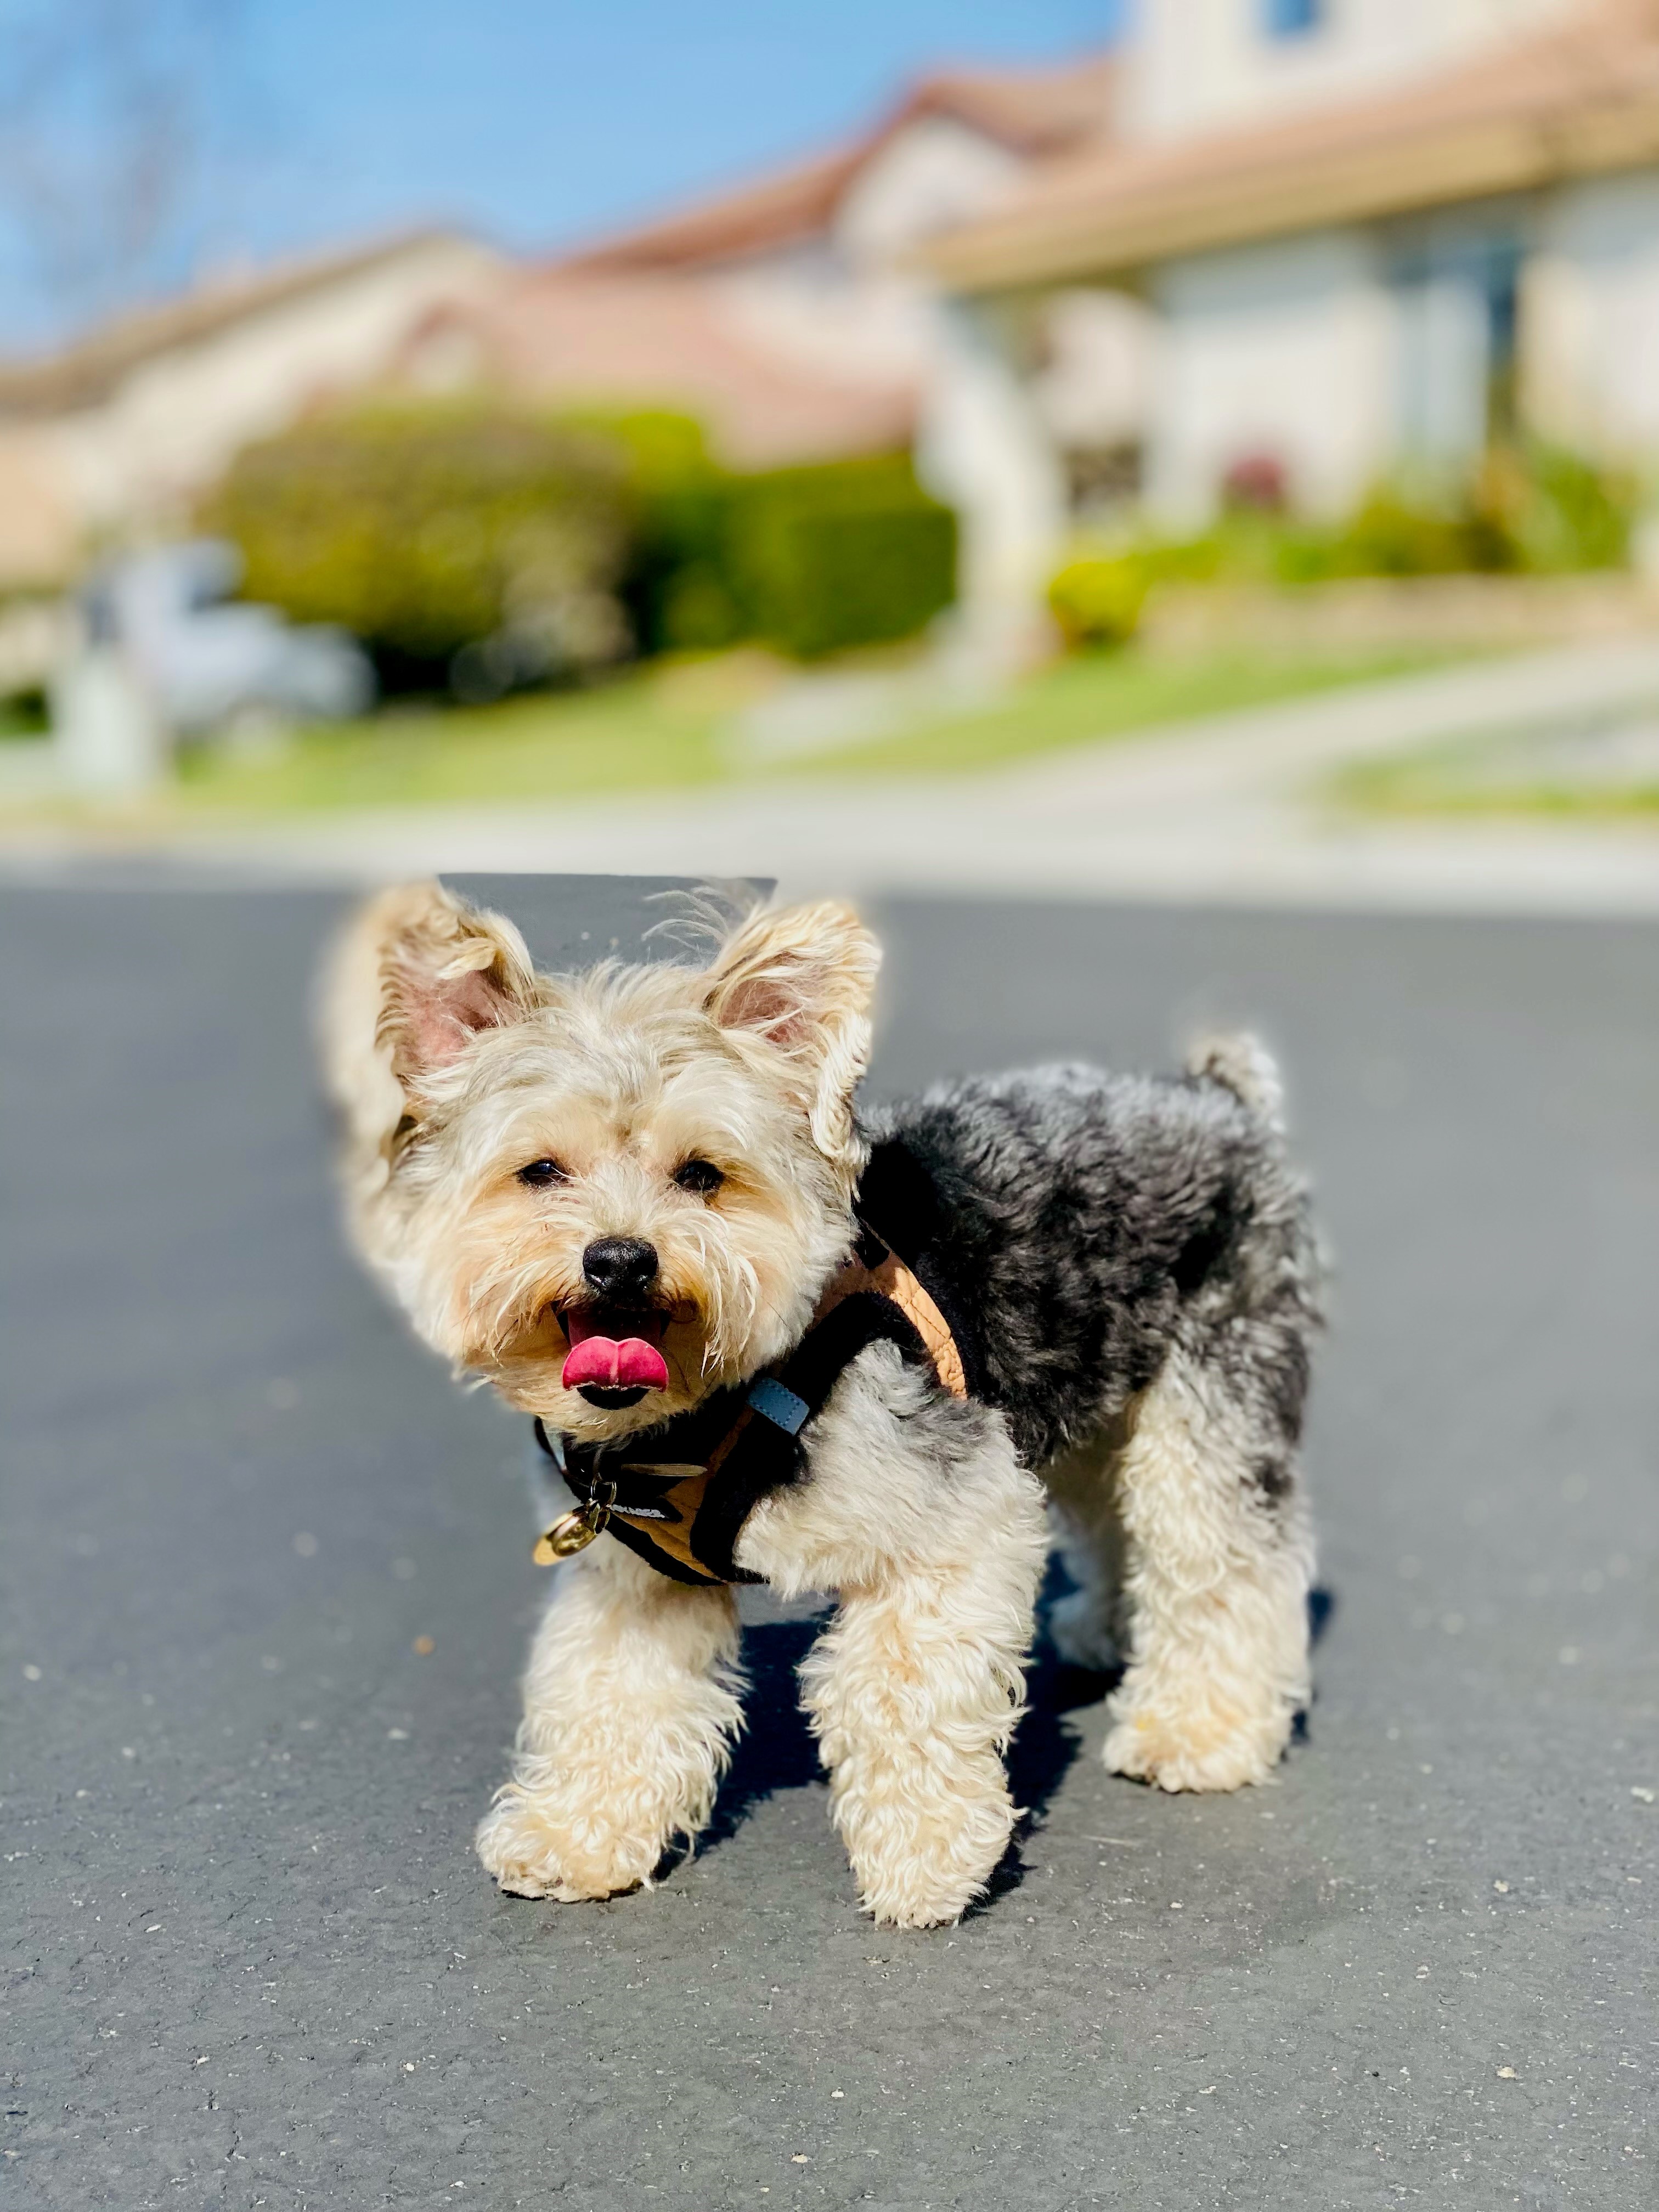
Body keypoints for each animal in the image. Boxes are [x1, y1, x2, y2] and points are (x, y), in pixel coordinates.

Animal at [325, 876, 1327, 1920]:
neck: (709, 1403)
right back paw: (1109, 1633)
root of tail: (1217, 1097)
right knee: (1117, 1513)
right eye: (540, 1172)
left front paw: (925, 1858)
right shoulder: (634, 1580)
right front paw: (577, 1836)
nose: (619, 1259)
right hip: (1091, 1391)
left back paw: (1197, 1731)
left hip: (1212, 1397)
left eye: (701, 1174)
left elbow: (898, 1691)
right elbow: (610, 1692)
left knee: (1221, 1557)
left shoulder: (955, 1520)